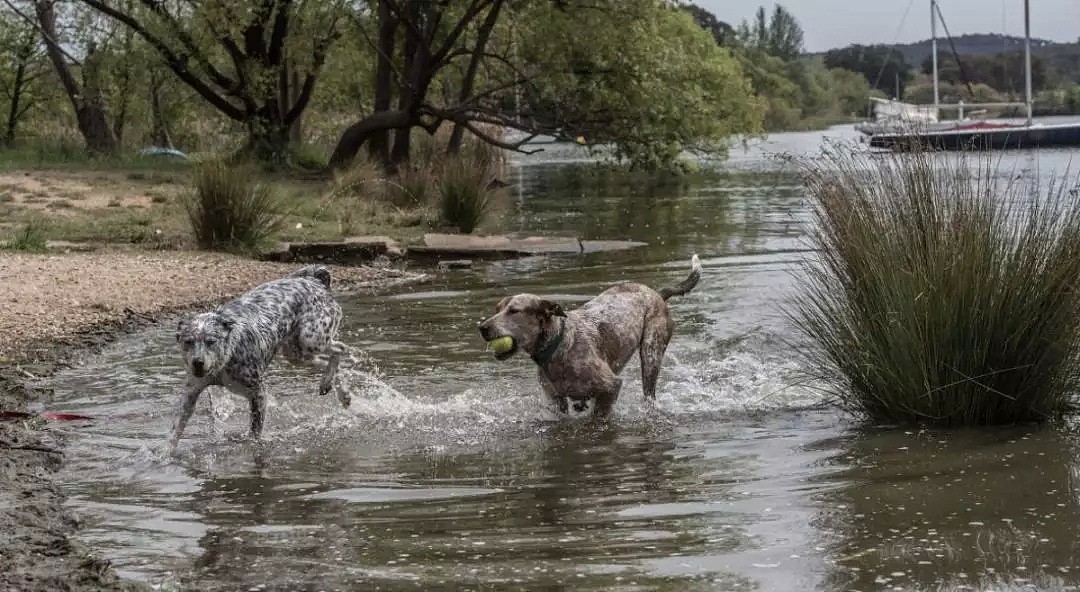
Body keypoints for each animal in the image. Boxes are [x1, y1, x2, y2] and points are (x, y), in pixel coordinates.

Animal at [167, 265, 349, 451]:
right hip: (297, 354)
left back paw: (333, 385)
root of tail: (315, 280)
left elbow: (255, 431)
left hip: (311, 339)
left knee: (341, 348)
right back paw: (335, 389)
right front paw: (166, 453)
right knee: (332, 363)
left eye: (211, 341)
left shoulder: (258, 393)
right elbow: (174, 431)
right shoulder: (190, 394)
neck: (226, 360)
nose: (197, 363)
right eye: (188, 342)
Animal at [479, 253, 699, 416]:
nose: (482, 328)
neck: (558, 347)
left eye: (514, 311)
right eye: (497, 308)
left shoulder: (611, 387)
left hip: (651, 353)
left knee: (649, 392)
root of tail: (656, 293)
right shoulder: (555, 401)